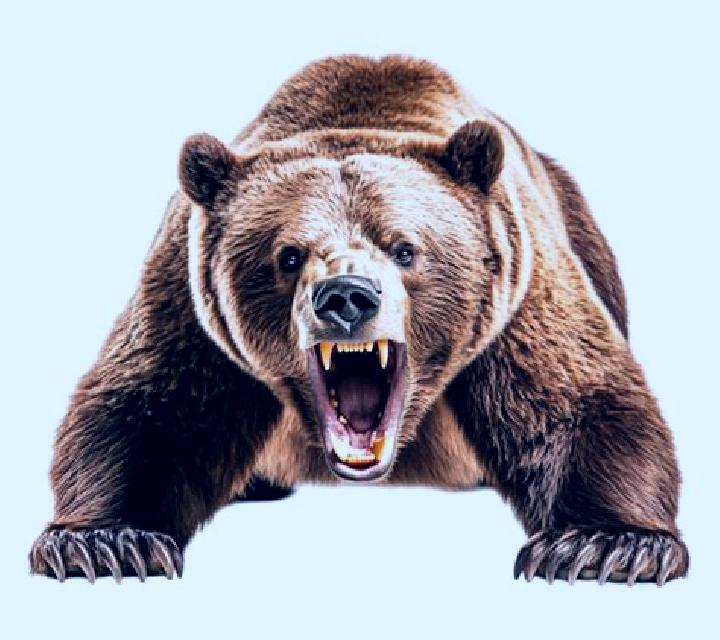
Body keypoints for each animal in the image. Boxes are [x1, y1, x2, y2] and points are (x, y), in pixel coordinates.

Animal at [30, 54, 689, 585]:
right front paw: (106, 542)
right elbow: (151, 405)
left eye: (405, 248)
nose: (346, 296)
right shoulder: (191, 302)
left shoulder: (518, 296)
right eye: (288, 255)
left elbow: (577, 401)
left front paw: (605, 546)